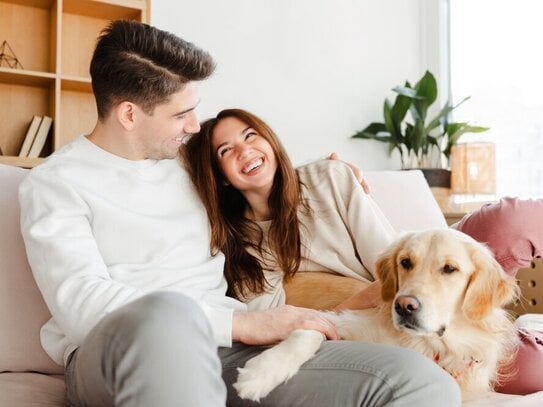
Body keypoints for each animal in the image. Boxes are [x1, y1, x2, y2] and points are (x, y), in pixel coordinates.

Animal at [235, 230, 524, 402]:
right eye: (405, 262)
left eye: (449, 269)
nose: (404, 306)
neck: (424, 344)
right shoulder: (339, 319)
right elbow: (307, 332)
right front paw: (262, 373)